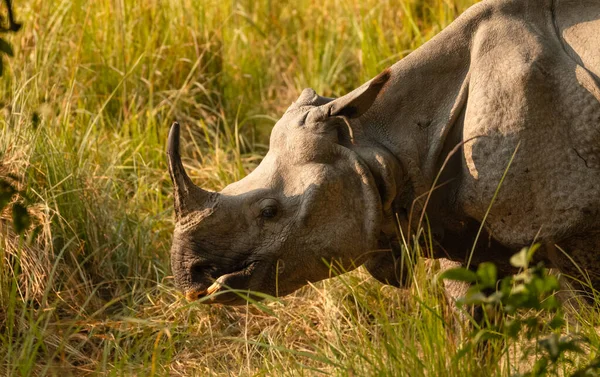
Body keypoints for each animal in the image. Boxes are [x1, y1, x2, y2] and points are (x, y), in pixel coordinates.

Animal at [166, 0, 600, 304]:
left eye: (270, 212)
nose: (189, 274)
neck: (377, 144)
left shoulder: (574, 224)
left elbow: (584, 309)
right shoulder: (454, 223)